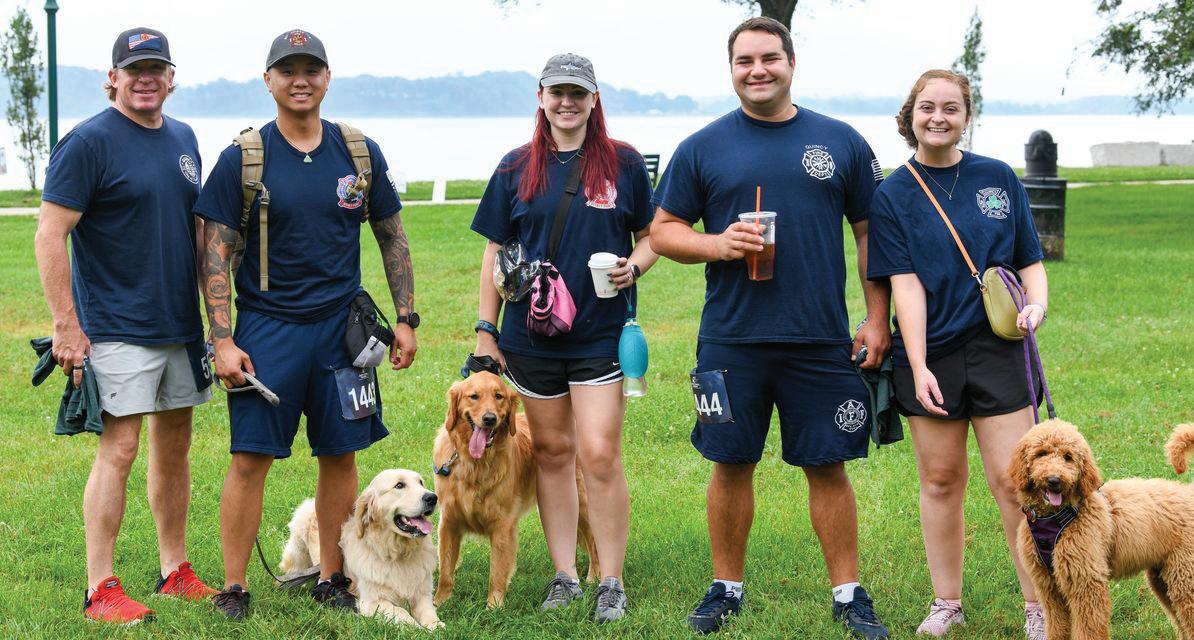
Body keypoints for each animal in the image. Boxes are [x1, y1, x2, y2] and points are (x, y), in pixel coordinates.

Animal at [279, 469, 444, 629]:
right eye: (399, 485)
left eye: (421, 483)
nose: (432, 497)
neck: (397, 553)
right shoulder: (371, 602)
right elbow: (400, 611)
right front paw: (417, 628)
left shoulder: (423, 594)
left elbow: (428, 612)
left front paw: (436, 626)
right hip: (298, 548)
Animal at [431, 371, 599, 608]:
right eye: (474, 396)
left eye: (498, 396)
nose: (489, 418)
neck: (475, 463)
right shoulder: (449, 521)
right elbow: (445, 570)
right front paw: (439, 604)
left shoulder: (503, 524)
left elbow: (497, 572)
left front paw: (493, 607)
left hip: (583, 503)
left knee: (595, 543)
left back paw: (594, 577)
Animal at [1009, 419, 1194, 640]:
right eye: (1041, 453)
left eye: (1068, 457)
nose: (1054, 480)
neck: (1058, 517)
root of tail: (1189, 491)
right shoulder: (1049, 588)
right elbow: (1057, 626)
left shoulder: (1087, 584)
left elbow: (1089, 629)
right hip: (1162, 580)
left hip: (1184, 579)